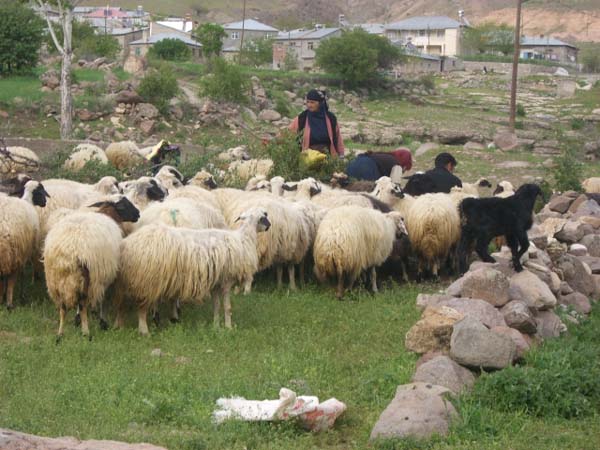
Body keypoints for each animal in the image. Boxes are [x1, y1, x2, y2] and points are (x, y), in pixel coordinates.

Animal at [0, 181, 49, 309]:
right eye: (41, 192)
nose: (45, 203)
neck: (28, 201)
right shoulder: (24, 251)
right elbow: (21, 274)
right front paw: (21, 296)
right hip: (15, 253)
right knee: (11, 279)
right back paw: (9, 303)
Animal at [44, 197, 140, 339]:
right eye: (125, 205)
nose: (138, 214)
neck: (107, 213)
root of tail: (71, 250)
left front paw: (77, 319)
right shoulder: (102, 274)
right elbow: (102, 299)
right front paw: (102, 321)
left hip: (56, 278)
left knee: (63, 306)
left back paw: (60, 334)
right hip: (88, 274)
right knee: (82, 302)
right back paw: (86, 332)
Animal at [114, 207, 271, 334]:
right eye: (263, 216)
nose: (269, 226)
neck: (244, 238)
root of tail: (127, 244)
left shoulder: (215, 282)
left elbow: (216, 305)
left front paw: (216, 326)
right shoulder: (226, 280)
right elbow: (227, 307)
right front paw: (229, 327)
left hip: (131, 280)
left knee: (121, 305)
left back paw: (120, 326)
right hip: (147, 280)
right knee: (141, 308)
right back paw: (144, 330)